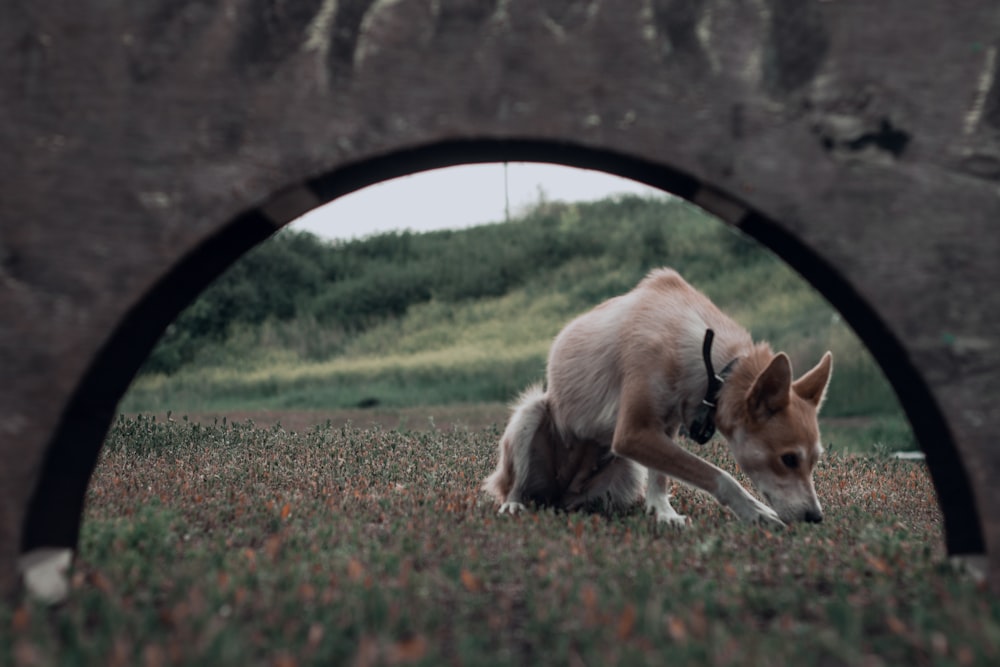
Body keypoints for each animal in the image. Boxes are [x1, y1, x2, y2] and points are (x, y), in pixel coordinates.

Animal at [480, 268, 832, 528]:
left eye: (815, 459)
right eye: (789, 459)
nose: (815, 517)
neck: (712, 365)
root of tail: (558, 495)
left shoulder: (663, 427)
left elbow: (660, 478)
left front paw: (663, 512)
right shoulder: (632, 432)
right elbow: (720, 476)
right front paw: (754, 511)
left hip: (622, 471)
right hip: (531, 413)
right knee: (512, 485)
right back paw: (513, 504)